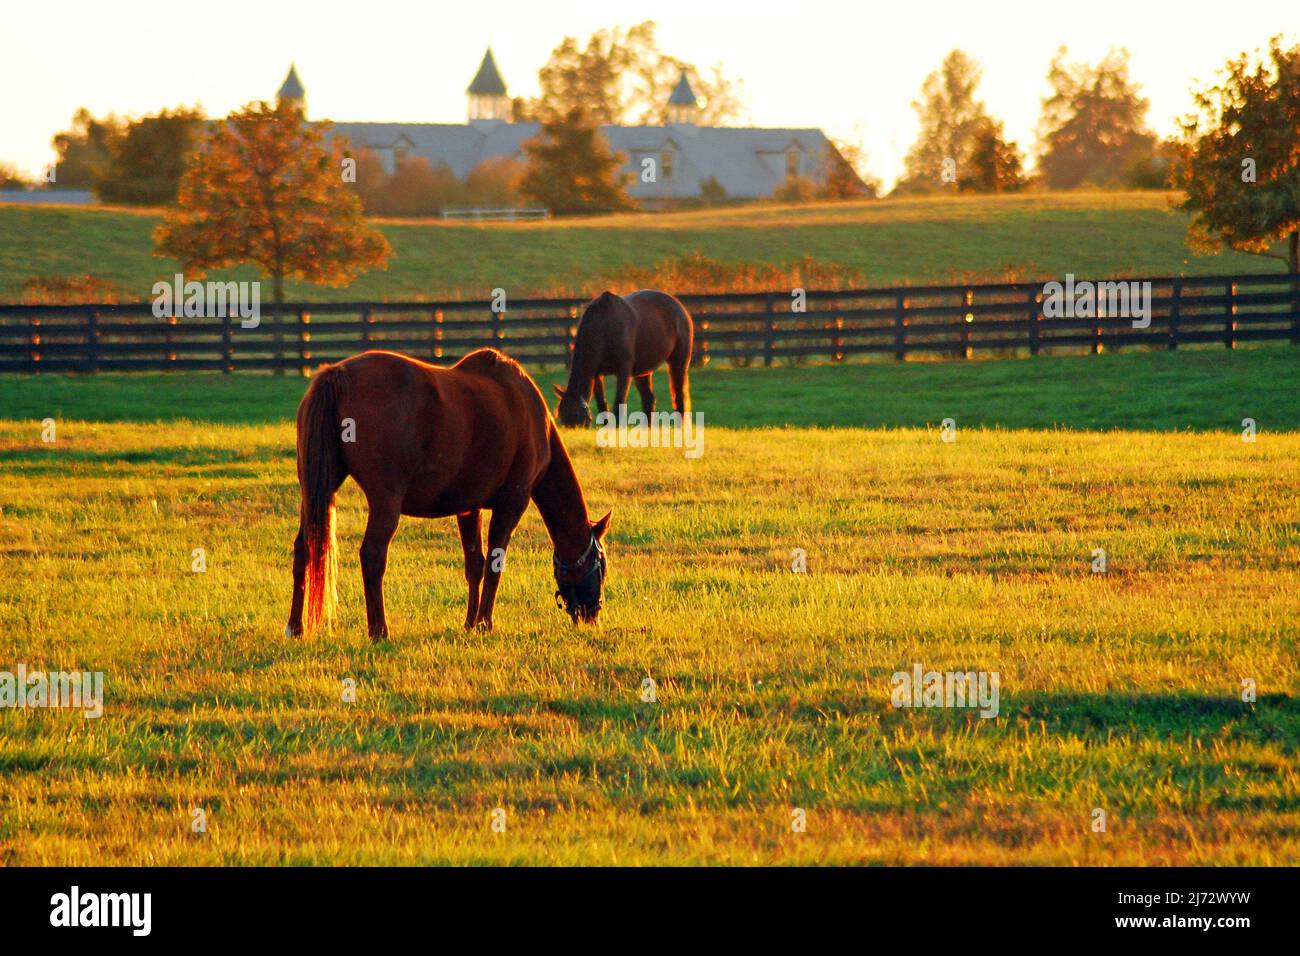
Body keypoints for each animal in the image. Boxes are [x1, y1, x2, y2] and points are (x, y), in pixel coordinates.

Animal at [287, 348, 611, 639]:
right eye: (602, 563)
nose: (593, 615)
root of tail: (338, 374)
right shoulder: (512, 502)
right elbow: (495, 563)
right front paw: (485, 623)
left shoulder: (469, 507)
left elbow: (475, 564)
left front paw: (470, 623)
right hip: (385, 500)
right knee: (372, 555)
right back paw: (379, 630)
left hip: (315, 489)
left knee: (304, 548)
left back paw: (295, 627)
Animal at [551, 290, 691, 429]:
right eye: (562, 416)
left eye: (577, 417)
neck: (605, 326)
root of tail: (680, 308)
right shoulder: (596, 374)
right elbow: (602, 403)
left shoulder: (623, 371)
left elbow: (619, 401)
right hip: (643, 371)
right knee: (649, 399)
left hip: (678, 363)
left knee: (679, 395)